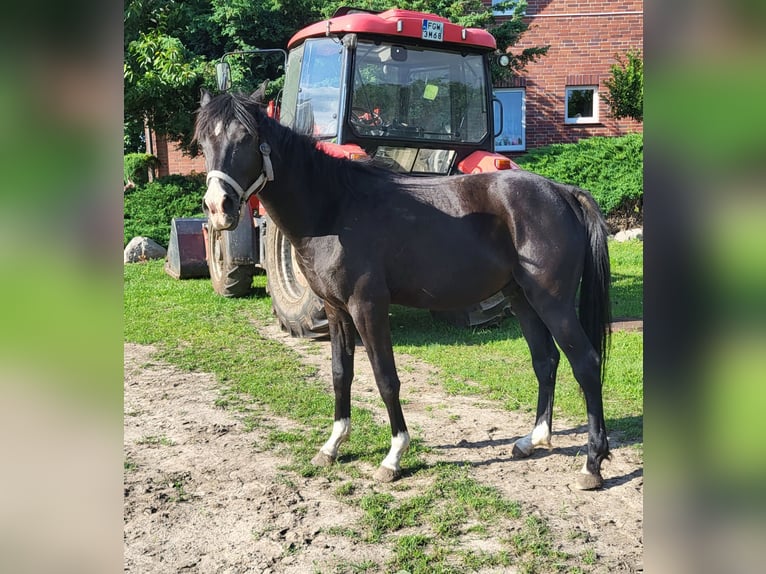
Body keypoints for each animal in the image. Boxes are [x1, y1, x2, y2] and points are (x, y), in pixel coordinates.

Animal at [196, 90, 612, 490]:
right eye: (203, 141)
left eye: (247, 137)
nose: (219, 207)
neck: (335, 209)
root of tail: (562, 191)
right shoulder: (335, 310)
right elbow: (340, 374)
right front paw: (332, 445)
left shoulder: (367, 308)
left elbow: (385, 378)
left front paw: (394, 455)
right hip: (521, 298)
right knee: (546, 361)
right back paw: (532, 440)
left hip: (553, 303)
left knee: (586, 363)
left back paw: (592, 464)